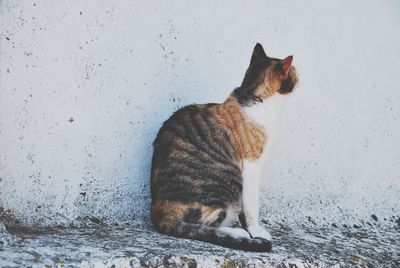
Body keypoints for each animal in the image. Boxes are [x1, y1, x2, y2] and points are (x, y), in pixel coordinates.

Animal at [152, 43, 298, 252]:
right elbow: (251, 206)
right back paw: (239, 233)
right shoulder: (252, 166)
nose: (300, 77)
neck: (253, 96)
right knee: (204, 226)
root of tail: (159, 212)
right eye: (295, 72)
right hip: (230, 181)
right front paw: (256, 231)